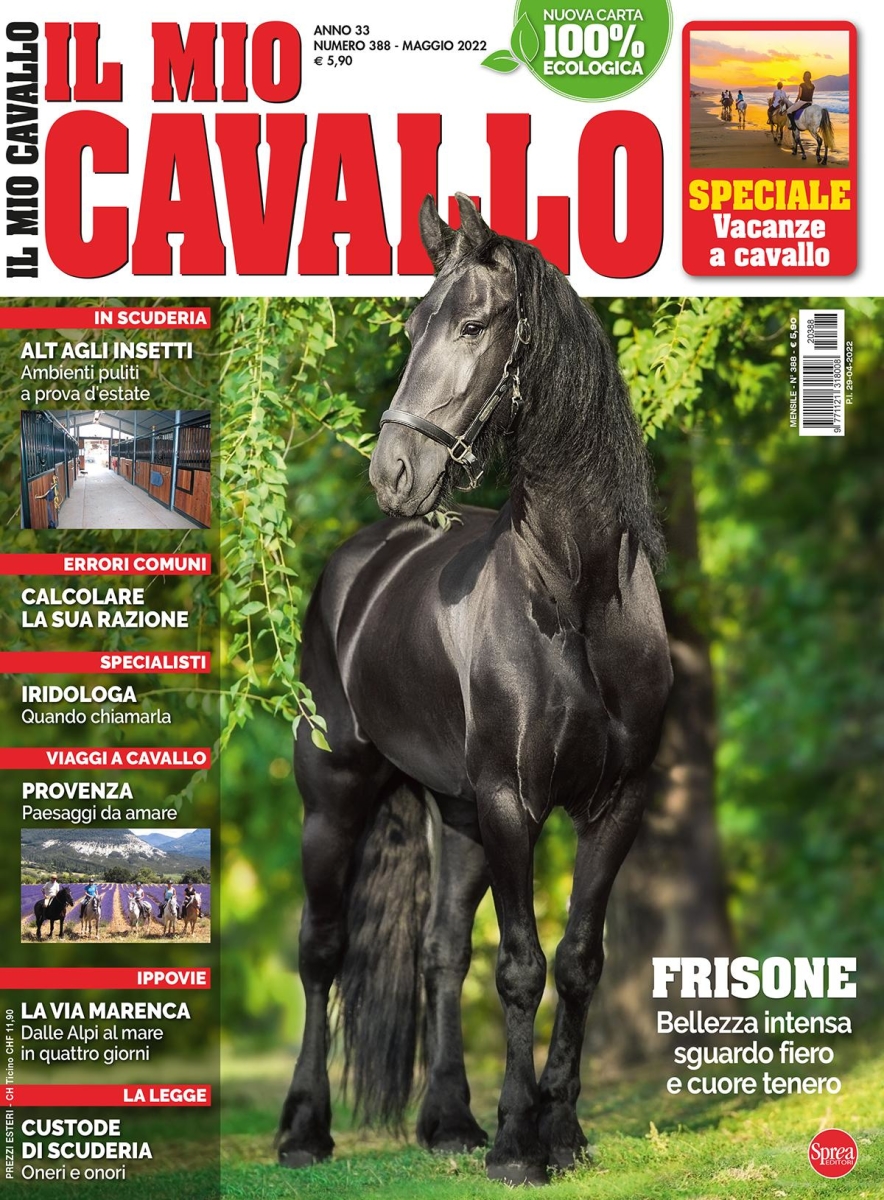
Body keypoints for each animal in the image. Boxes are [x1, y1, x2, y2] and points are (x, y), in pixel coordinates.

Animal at [277, 193, 672, 1186]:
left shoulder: (617, 802)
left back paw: (447, 1122)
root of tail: (360, 561)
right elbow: (521, 968)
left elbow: (576, 960)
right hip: (334, 799)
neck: (576, 600)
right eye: (412, 324)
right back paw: (304, 1131)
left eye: (473, 325)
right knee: (322, 951)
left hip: (453, 813)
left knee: (439, 951)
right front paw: (517, 1146)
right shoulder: (510, 803)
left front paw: (560, 1131)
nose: (393, 473)